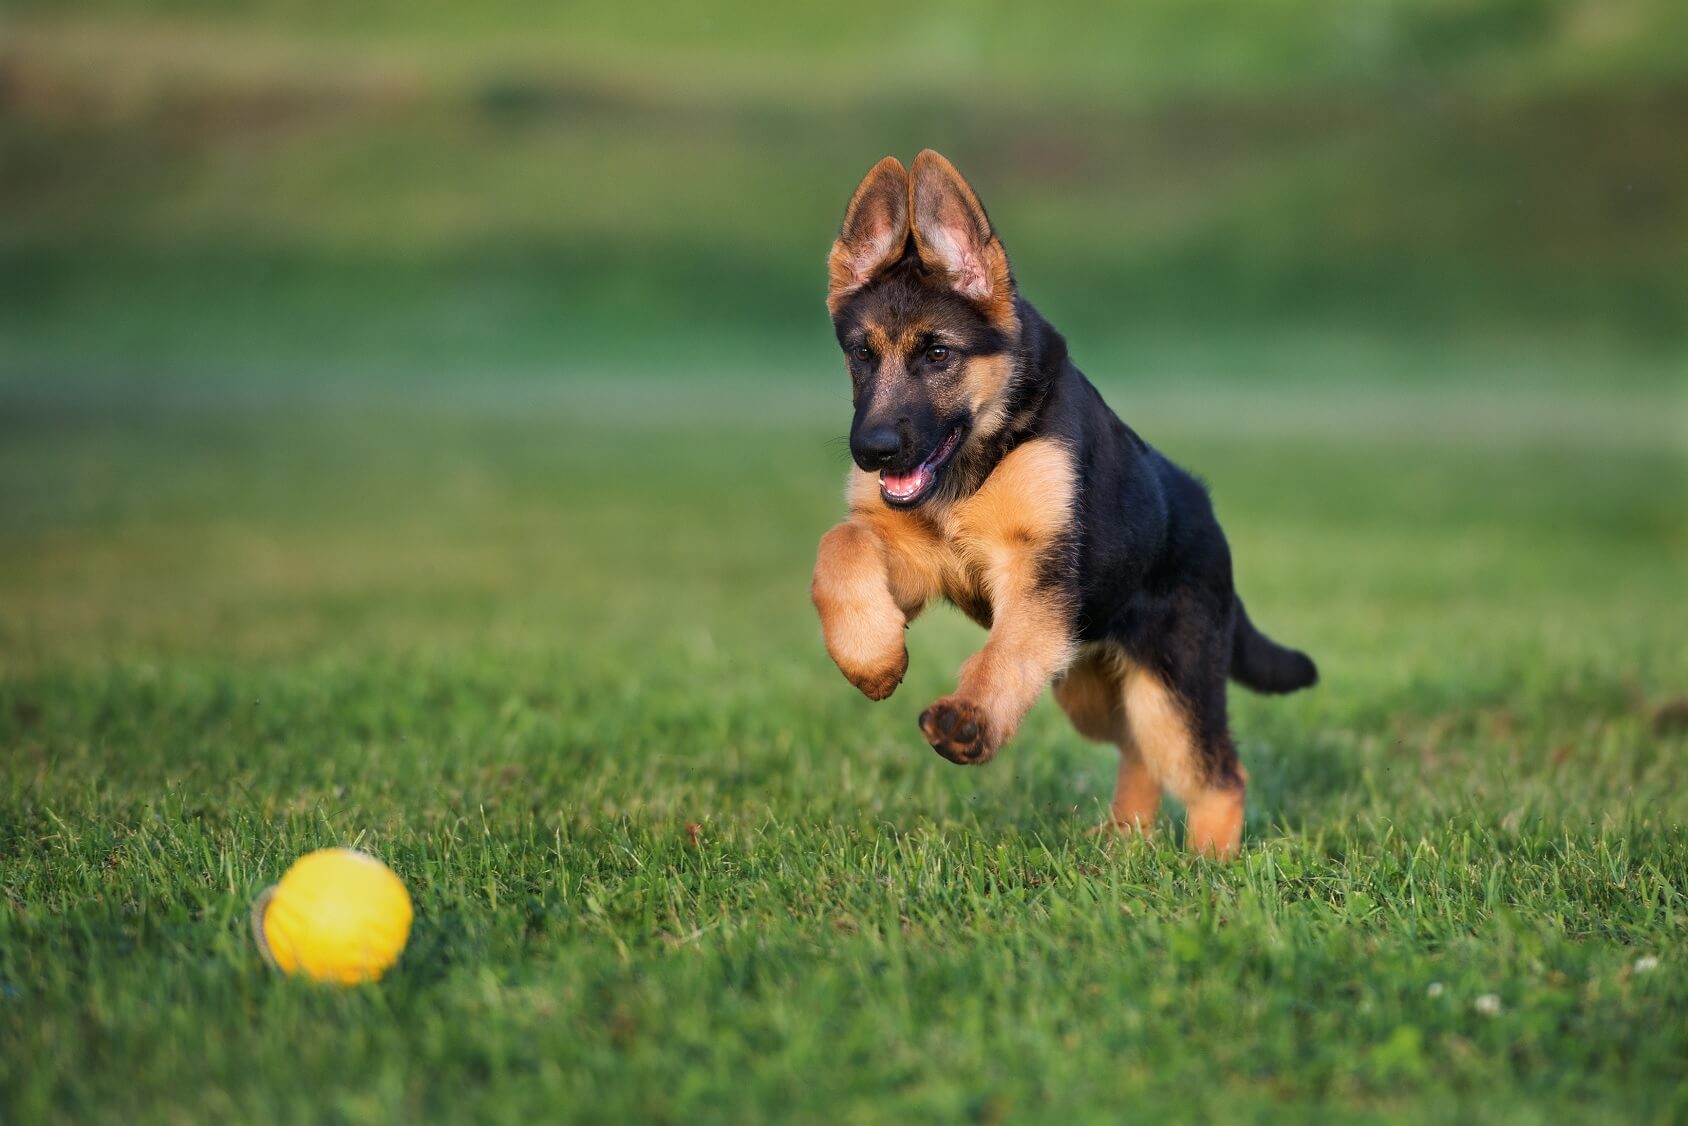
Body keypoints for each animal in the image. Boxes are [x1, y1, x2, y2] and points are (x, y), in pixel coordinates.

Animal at [813, 149, 1316, 854]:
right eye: (861, 354)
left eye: (937, 354)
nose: (873, 451)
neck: (980, 457)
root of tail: (1208, 514)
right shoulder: (921, 560)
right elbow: (840, 545)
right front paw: (871, 659)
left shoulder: (1041, 577)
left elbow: (1006, 652)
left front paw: (969, 718)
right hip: (1090, 687)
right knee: (1138, 749)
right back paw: (1125, 839)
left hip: (1172, 681)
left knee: (1216, 769)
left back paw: (1208, 863)